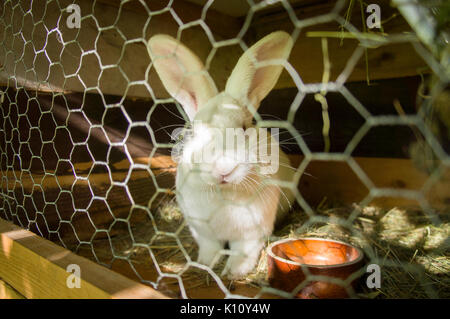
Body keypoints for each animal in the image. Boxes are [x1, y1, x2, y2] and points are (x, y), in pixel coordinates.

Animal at [147, 31, 296, 278]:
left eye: (245, 128)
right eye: (196, 131)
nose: (223, 169)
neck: (224, 194)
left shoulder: (251, 234)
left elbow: (243, 252)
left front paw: (235, 272)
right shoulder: (202, 230)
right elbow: (210, 247)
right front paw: (204, 263)